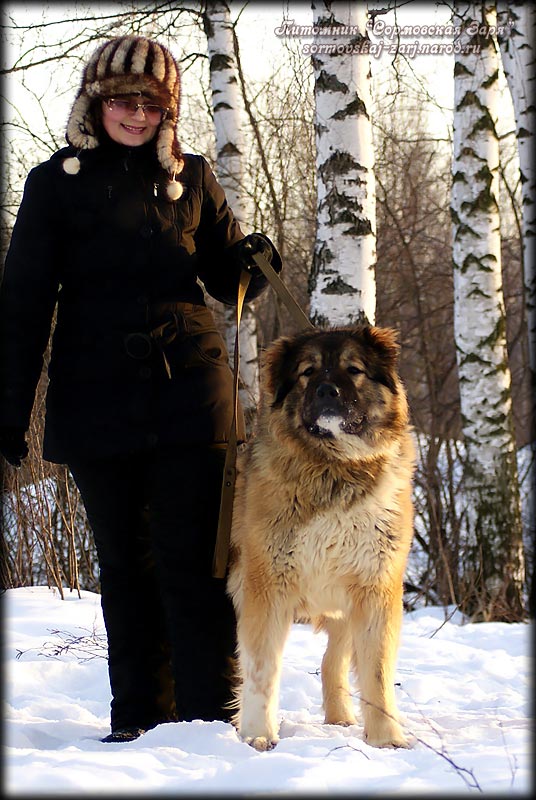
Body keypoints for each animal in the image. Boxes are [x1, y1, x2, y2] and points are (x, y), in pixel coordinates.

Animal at [227, 325, 416, 751]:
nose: (327, 391)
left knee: (332, 663)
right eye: (307, 372)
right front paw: (258, 733)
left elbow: (377, 672)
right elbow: (261, 668)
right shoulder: (267, 586)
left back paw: (340, 717)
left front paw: (386, 738)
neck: (335, 468)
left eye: (354, 369)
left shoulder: (374, 589)